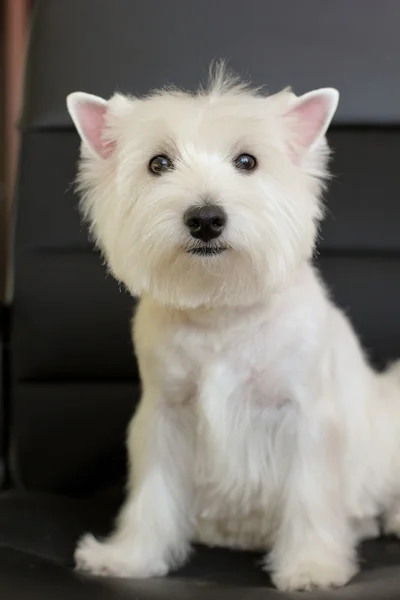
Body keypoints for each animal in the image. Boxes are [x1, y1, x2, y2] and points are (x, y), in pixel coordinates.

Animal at [67, 65, 400, 592]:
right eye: (158, 163)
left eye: (247, 161)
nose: (205, 218)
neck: (220, 309)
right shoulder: (165, 415)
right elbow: (152, 494)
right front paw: (128, 559)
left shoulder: (304, 417)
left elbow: (310, 495)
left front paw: (311, 567)